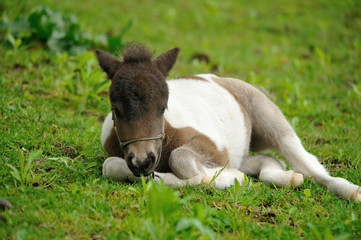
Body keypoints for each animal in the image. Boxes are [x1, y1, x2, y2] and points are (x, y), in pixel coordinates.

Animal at [95, 43, 360, 201]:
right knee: (270, 162)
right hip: (243, 153)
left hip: (270, 120)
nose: (142, 160)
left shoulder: (214, 149)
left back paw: (350, 191)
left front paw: (227, 178)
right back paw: (286, 178)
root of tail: (221, 79)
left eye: (163, 108)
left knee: (306, 163)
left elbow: (181, 160)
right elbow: (110, 166)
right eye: (115, 109)